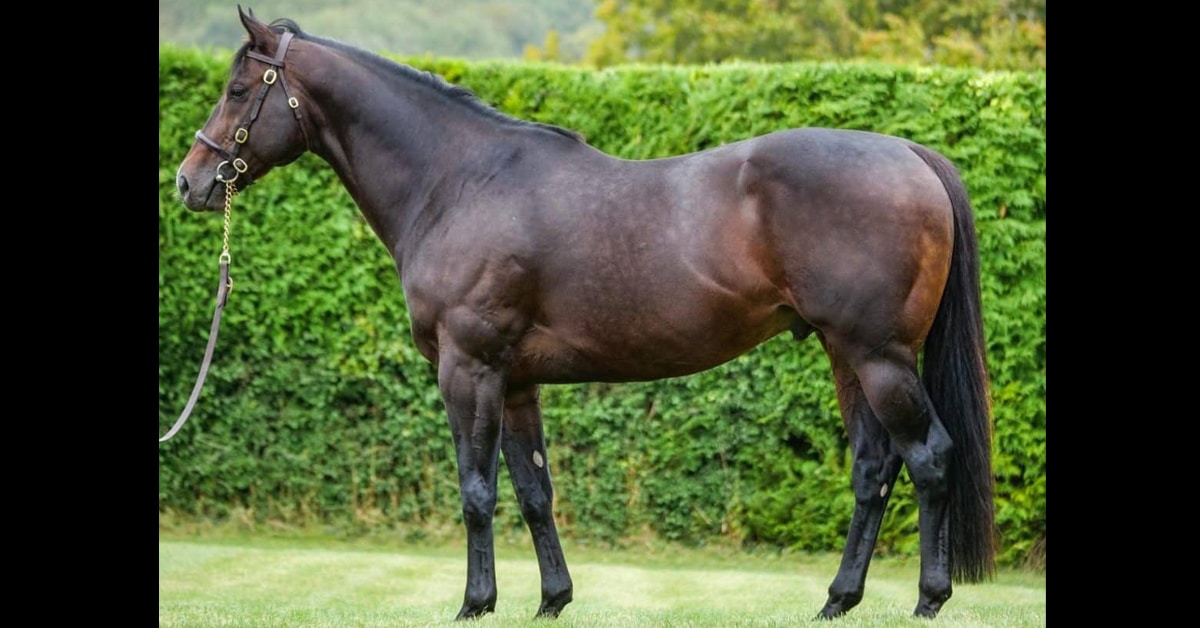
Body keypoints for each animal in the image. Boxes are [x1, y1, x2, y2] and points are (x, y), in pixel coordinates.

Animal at [173, 7, 996, 621]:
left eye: (241, 87)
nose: (189, 181)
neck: (458, 181)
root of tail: (911, 155)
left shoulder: (468, 368)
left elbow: (477, 490)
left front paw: (475, 603)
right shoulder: (514, 381)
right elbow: (534, 491)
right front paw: (552, 600)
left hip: (878, 355)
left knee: (929, 457)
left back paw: (928, 599)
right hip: (845, 354)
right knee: (873, 468)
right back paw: (837, 600)